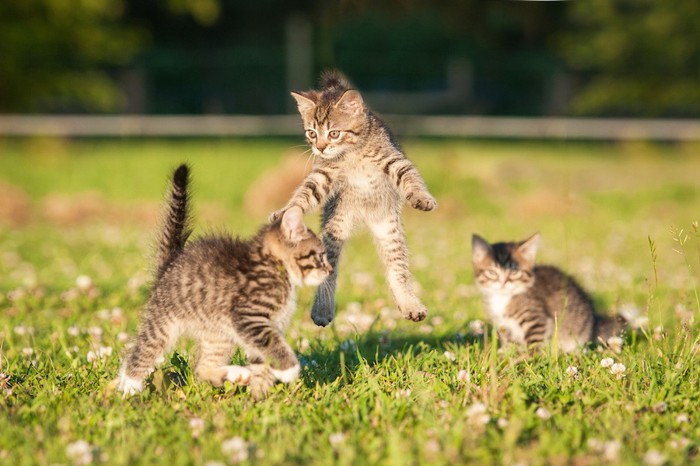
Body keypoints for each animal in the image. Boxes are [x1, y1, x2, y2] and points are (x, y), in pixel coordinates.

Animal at [117, 163, 330, 396]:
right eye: (320, 255)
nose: (329, 269)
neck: (275, 266)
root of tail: (171, 261)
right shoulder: (248, 317)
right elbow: (273, 344)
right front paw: (289, 370)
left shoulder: (263, 326)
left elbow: (263, 356)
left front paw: (259, 397)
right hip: (162, 322)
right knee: (142, 351)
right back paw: (128, 388)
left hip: (218, 333)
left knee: (203, 368)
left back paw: (235, 374)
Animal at [274, 71, 438, 328]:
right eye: (312, 133)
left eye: (334, 133)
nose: (320, 148)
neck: (352, 153)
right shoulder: (324, 174)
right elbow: (306, 192)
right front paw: (288, 211)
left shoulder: (393, 159)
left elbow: (410, 177)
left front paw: (422, 198)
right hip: (335, 227)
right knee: (329, 272)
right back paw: (322, 309)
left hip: (388, 228)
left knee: (397, 268)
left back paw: (409, 305)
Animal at [470, 231, 628, 352]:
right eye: (492, 272)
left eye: (514, 272)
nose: (503, 283)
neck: (503, 298)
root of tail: (594, 324)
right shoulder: (503, 325)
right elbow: (509, 343)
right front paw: (506, 356)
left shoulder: (538, 319)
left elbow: (534, 343)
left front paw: (529, 360)